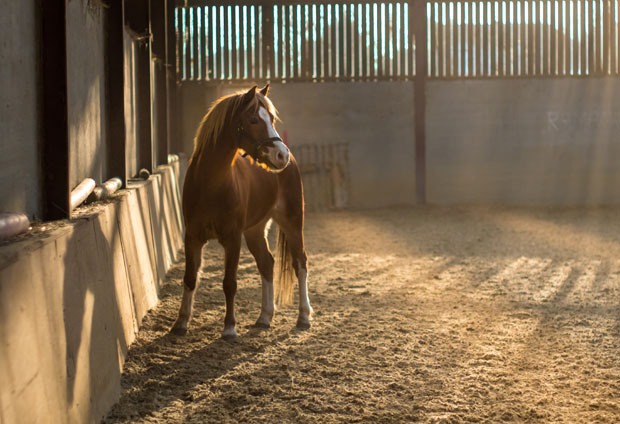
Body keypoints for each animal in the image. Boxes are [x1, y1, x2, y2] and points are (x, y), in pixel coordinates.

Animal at [171, 85, 312, 342]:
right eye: (254, 119)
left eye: (272, 119)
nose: (281, 155)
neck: (211, 183)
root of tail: (293, 162)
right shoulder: (192, 237)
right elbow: (189, 278)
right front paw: (181, 323)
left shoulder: (232, 238)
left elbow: (229, 282)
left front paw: (229, 328)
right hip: (255, 231)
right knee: (267, 263)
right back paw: (265, 317)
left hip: (293, 223)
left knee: (300, 263)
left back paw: (304, 317)